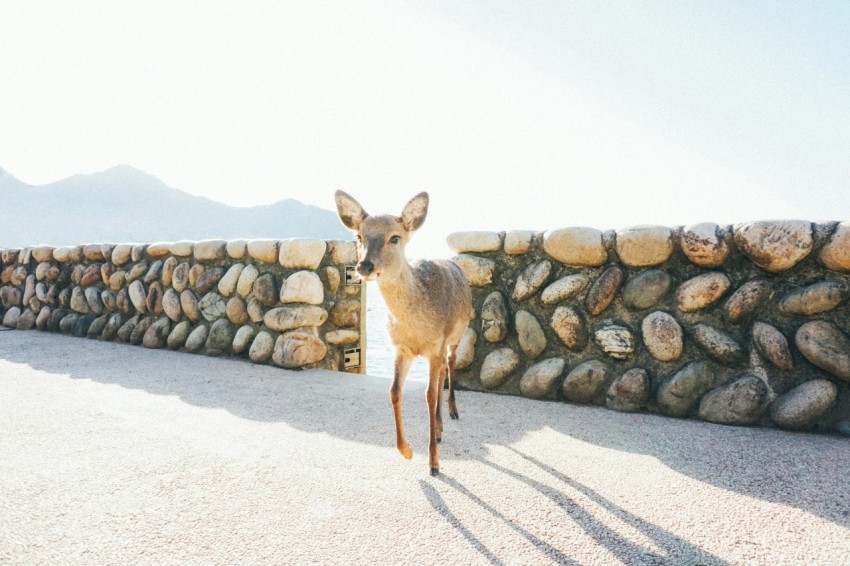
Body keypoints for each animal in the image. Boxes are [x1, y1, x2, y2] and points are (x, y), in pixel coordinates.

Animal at [335, 190, 472, 476]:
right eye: (359, 236)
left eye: (395, 237)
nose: (364, 266)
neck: (416, 329)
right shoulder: (401, 348)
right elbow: (394, 391)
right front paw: (406, 450)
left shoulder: (436, 343)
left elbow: (429, 395)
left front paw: (433, 463)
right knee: (441, 373)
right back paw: (439, 427)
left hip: (458, 333)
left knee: (450, 364)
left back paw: (452, 412)